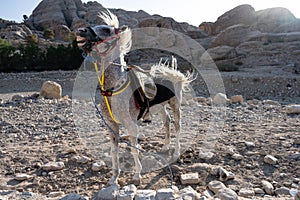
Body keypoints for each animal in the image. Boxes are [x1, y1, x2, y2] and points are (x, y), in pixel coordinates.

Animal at [75, 9, 192, 186]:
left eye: (106, 29)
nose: (80, 31)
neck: (113, 88)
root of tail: (174, 74)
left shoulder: (131, 125)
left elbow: (133, 150)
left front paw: (137, 175)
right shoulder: (111, 126)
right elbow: (114, 151)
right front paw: (114, 178)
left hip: (175, 104)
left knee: (177, 126)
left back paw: (176, 152)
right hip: (160, 107)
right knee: (167, 122)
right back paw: (165, 146)